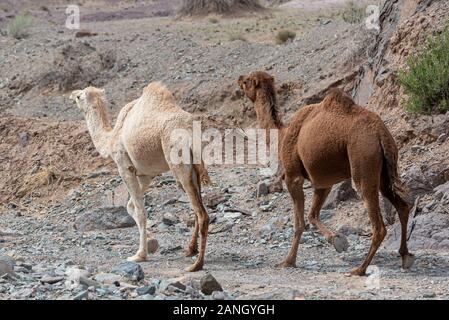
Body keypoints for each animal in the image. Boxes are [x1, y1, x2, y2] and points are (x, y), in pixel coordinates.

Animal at [69, 82, 210, 272]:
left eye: (79, 96)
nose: (72, 95)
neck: (111, 137)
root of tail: (191, 133)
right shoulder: (146, 174)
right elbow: (130, 206)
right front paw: (151, 241)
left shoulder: (124, 166)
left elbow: (140, 210)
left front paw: (140, 254)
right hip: (194, 168)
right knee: (196, 208)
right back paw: (190, 250)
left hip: (178, 163)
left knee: (202, 214)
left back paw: (196, 265)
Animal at [238, 72, 412, 276]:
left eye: (247, 82)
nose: (239, 79)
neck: (282, 135)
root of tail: (380, 133)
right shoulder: (322, 182)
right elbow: (312, 215)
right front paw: (337, 240)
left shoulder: (293, 177)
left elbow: (299, 223)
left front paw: (288, 261)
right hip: (386, 169)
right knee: (402, 206)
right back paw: (405, 256)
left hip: (362, 158)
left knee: (378, 225)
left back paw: (359, 269)